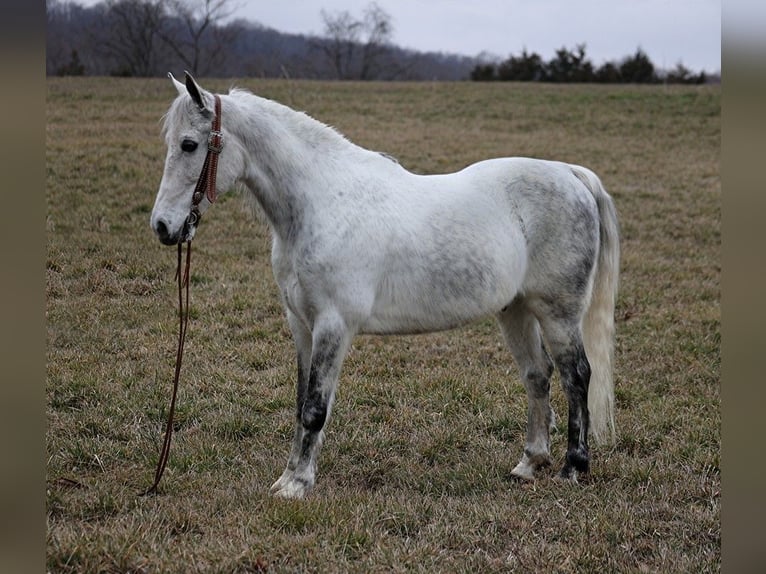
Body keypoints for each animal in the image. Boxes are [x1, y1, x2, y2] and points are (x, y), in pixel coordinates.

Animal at [152, 74, 624, 502]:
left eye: (190, 145)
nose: (163, 226)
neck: (321, 202)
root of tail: (571, 175)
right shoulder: (301, 325)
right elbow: (302, 402)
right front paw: (291, 475)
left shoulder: (333, 326)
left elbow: (315, 408)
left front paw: (296, 485)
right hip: (517, 310)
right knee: (537, 375)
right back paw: (529, 463)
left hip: (558, 312)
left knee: (576, 375)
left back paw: (572, 467)